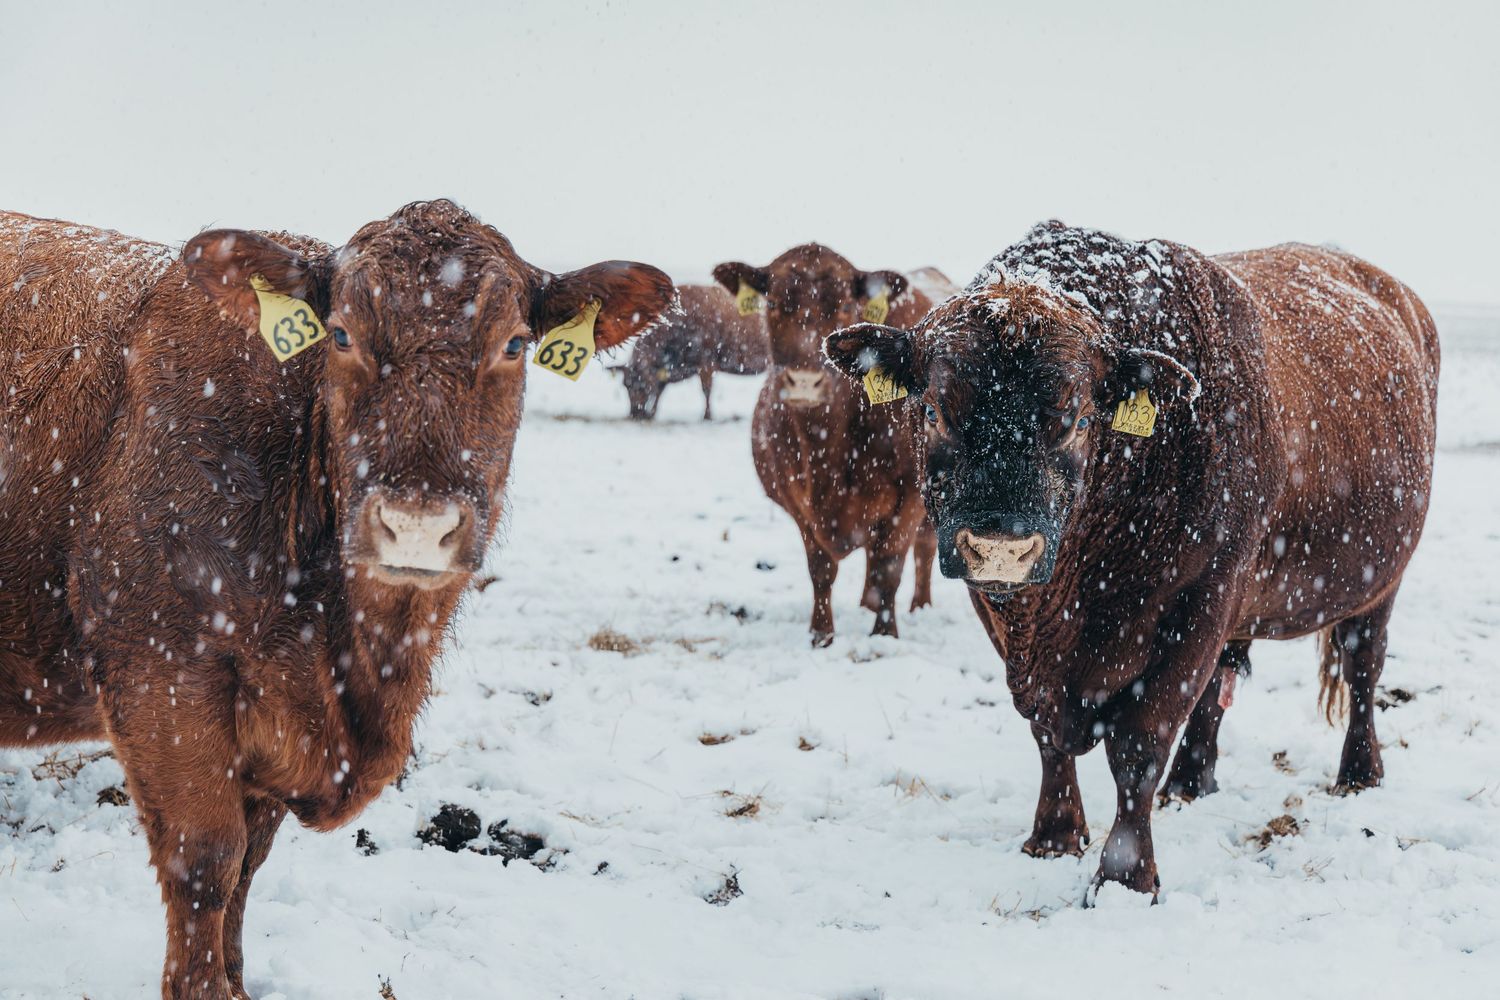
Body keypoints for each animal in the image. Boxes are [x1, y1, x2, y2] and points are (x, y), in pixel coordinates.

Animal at [0, 201, 672, 998]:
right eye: (343, 335)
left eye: (514, 344)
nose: (417, 524)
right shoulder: (160, 673)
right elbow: (205, 862)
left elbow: (247, 868)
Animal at [617, 283, 769, 420]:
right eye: (626, 385)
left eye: (644, 384)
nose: (635, 413)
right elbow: (660, 389)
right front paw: (652, 414)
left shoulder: (706, 362)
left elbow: (706, 390)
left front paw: (707, 416)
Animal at [713, 247, 952, 646]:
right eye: (773, 303)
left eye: (843, 306)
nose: (804, 382)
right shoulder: (798, 502)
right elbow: (821, 569)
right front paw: (820, 634)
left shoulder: (909, 499)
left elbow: (890, 566)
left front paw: (884, 635)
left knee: (922, 548)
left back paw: (921, 606)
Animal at [824, 221, 1438, 895]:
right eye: (934, 410)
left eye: (1075, 419)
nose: (1001, 546)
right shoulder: (1008, 623)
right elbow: (1046, 733)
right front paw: (1054, 835)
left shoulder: (1198, 601)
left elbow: (1141, 744)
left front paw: (1126, 876)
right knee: (1223, 684)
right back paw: (1192, 783)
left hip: (1381, 581)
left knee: (1362, 669)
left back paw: (1358, 774)